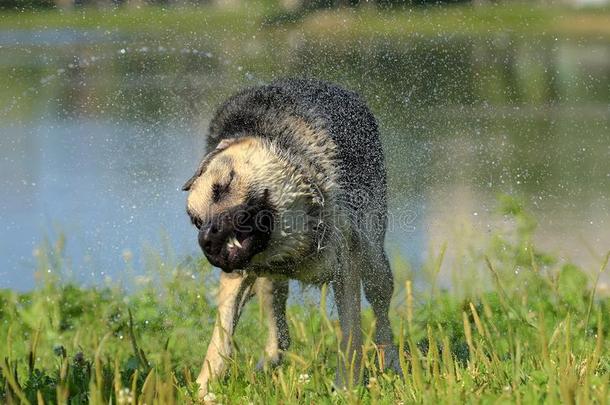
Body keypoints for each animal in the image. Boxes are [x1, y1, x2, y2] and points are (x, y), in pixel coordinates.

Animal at [180, 77, 400, 396]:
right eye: (196, 221)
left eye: (223, 187)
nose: (206, 240)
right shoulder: (239, 276)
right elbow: (220, 337)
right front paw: (202, 389)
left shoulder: (346, 263)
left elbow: (350, 333)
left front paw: (345, 387)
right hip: (269, 282)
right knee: (278, 327)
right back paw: (269, 361)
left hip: (375, 260)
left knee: (380, 306)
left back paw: (392, 360)